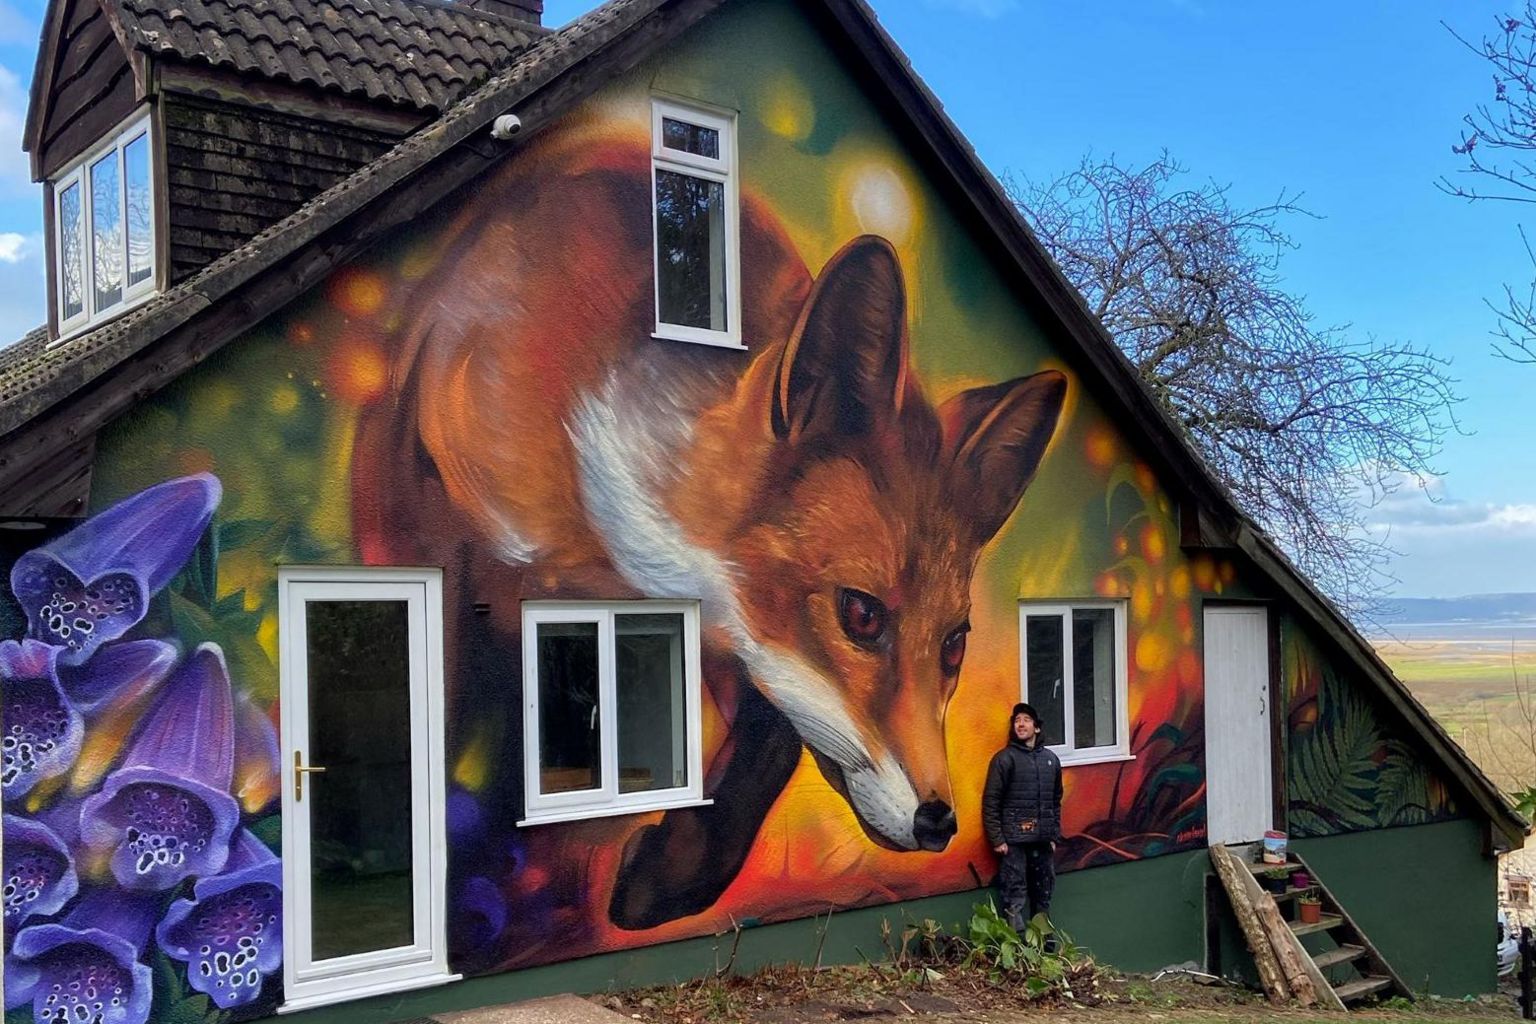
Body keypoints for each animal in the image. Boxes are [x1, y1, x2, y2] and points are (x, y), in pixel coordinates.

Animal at [351, 115, 1069, 933]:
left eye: (954, 643)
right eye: (861, 614)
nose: (940, 821)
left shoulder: (731, 646)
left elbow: (765, 756)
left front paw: (665, 878)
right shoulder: (445, 534)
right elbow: (440, 727)